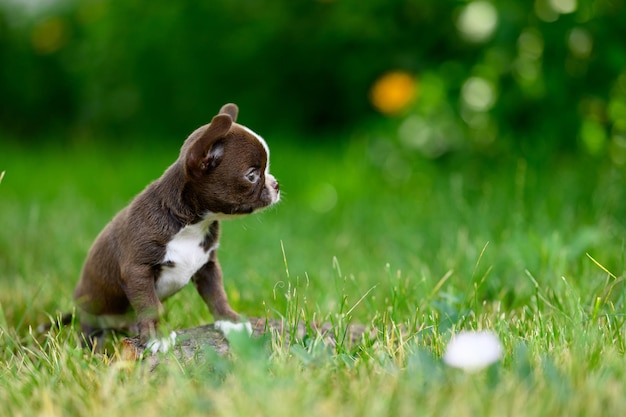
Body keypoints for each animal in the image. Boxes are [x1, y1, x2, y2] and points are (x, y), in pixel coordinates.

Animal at [72, 104, 278, 348]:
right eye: (252, 175)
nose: (276, 184)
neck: (191, 225)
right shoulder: (137, 271)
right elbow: (149, 304)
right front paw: (156, 336)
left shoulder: (207, 266)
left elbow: (216, 293)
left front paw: (230, 321)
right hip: (91, 309)